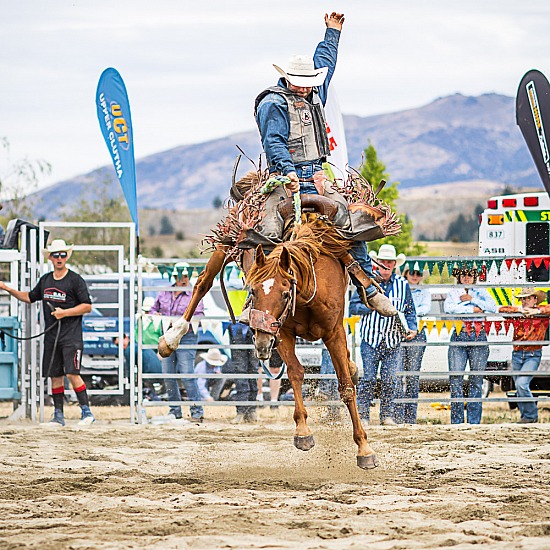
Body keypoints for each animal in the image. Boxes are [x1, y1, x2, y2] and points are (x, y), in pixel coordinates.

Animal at [158, 216, 380, 470]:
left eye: (285, 293)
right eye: (252, 291)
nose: (262, 343)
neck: (307, 291)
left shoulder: (334, 332)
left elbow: (346, 387)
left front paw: (364, 448)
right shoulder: (282, 332)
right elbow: (295, 373)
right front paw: (303, 432)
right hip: (224, 245)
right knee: (202, 283)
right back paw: (171, 338)